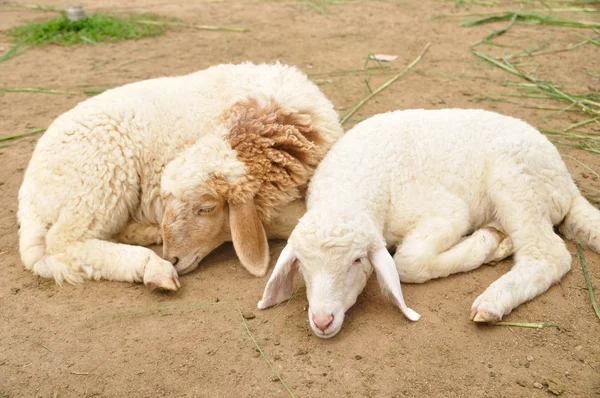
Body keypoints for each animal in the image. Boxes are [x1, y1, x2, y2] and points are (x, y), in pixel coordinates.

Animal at [17, 63, 342, 292]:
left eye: (206, 208)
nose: (172, 256)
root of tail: (28, 194)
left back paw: (147, 235)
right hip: (99, 179)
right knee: (65, 243)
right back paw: (153, 267)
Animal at [258, 107, 600, 338]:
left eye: (356, 261)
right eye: (302, 266)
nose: (322, 321)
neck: (349, 186)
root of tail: (567, 185)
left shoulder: (448, 211)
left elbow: (408, 262)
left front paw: (485, 244)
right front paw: (493, 245)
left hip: (517, 179)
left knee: (548, 254)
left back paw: (494, 298)